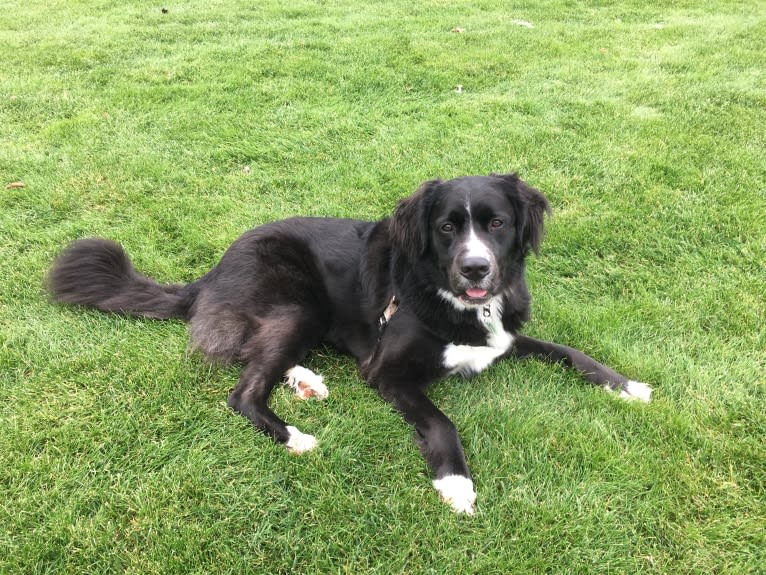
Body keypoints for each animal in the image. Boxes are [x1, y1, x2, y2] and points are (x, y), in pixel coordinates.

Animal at [48, 173, 652, 516]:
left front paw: (626, 386)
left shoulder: (502, 337)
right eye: (447, 228)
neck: (453, 298)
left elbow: (572, 353)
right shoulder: (386, 371)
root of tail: (212, 271)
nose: (477, 268)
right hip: (300, 304)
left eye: (497, 223)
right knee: (242, 390)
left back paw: (304, 381)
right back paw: (294, 435)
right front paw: (456, 483)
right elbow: (441, 421)